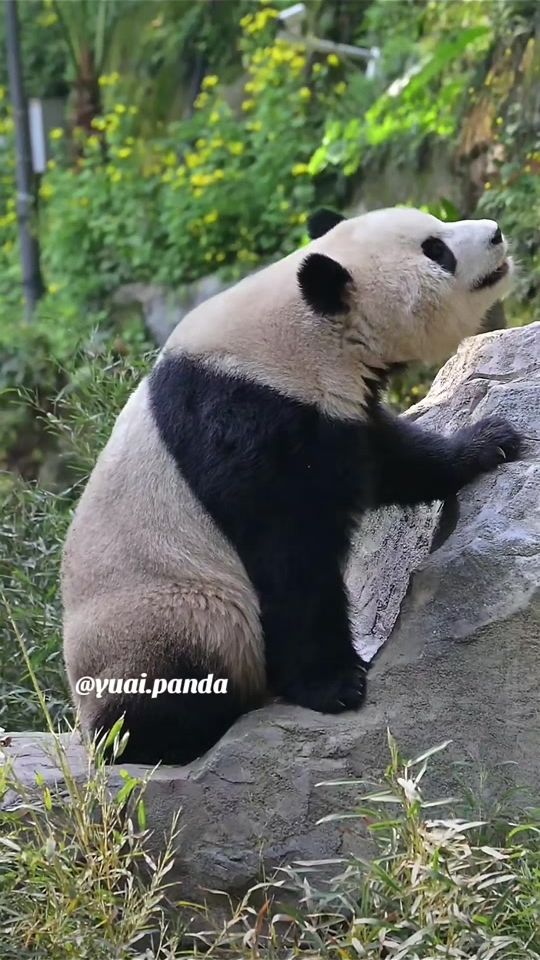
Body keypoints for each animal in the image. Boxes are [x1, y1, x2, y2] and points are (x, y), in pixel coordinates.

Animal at [62, 206, 521, 765]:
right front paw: (336, 686)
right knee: (178, 670)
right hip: (161, 614)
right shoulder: (250, 420)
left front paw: (490, 441)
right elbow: (289, 558)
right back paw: (176, 730)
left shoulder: (333, 412)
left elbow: (392, 461)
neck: (303, 333)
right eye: (436, 251)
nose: (496, 232)